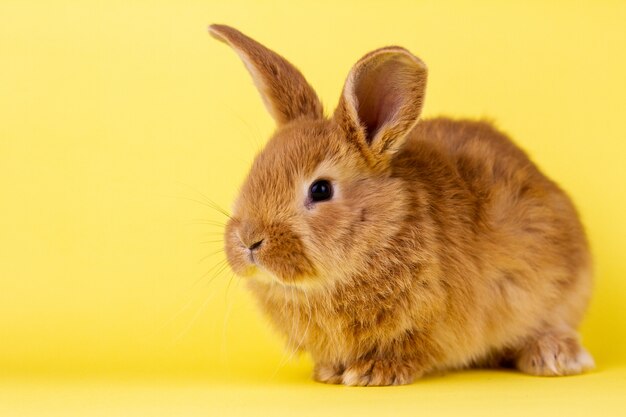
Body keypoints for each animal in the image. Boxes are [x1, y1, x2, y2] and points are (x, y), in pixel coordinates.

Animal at [207, 24, 592, 386]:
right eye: (255, 170)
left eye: (320, 189)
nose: (249, 241)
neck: (381, 233)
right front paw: (330, 372)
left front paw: (374, 372)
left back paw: (555, 356)